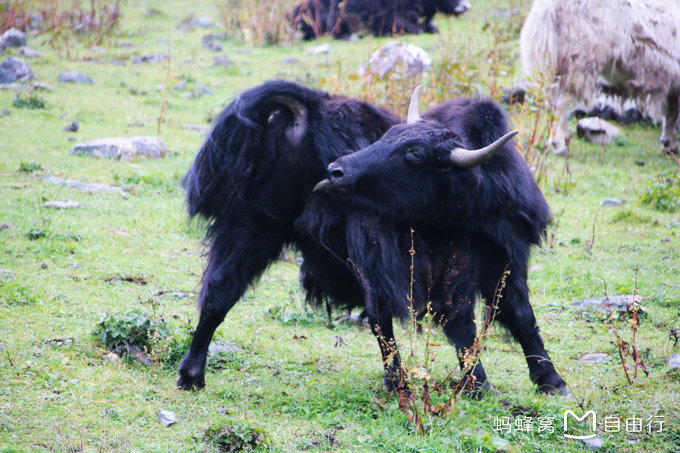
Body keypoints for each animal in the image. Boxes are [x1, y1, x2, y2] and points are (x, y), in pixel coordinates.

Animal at [177, 80, 401, 390]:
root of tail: (309, 108)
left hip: (259, 224)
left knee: (220, 287)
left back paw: (191, 375)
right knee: (378, 308)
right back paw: (400, 386)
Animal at [305, 87, 568, 395]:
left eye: (415, 154)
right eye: (388, 134)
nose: (335, 170)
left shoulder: (507, 257)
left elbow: (520, 315)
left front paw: (551, 380)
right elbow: (461, 323)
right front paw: (478, 384)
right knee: (380, 321)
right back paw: (397, 383)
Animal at [520, 0, 680, 155]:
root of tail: (548, 9)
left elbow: (672, 111)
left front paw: (668, 144)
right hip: (579, 61)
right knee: (560, 104)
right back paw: (560, 145)